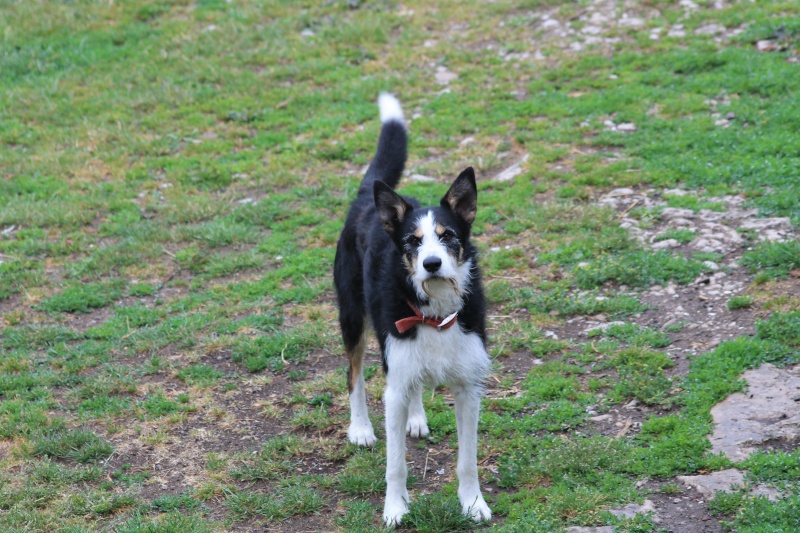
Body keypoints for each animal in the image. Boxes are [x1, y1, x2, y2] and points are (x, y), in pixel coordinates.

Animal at [332, 94, 494, 524]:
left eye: (447, 236)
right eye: (412, 242)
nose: (432, 264)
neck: (433, 312)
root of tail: (366, 197)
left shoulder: (468, 387)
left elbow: (467, 460)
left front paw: (473, 503)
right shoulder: (395, 373)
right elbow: (396, 465)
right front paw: (395, 509)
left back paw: (416, 418)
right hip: (353, 316)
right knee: (354, 373)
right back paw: (360, 428)